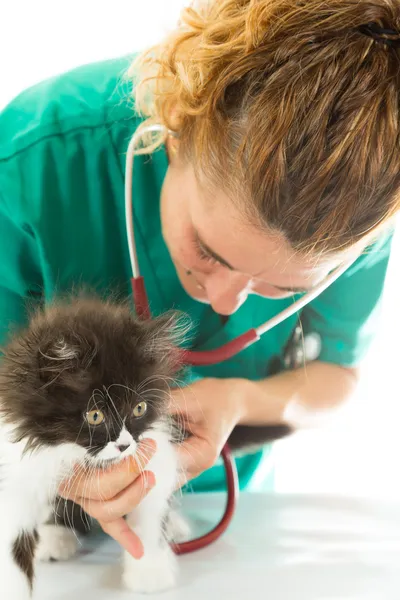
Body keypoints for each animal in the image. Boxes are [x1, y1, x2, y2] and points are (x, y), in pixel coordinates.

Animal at [0, 296, 186, 600]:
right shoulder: (18, 471)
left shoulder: (155, 456)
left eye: (139, 408)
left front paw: (150, 572)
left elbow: (150, 513)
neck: (70, 450)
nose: (124, 445)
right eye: (95, 415)